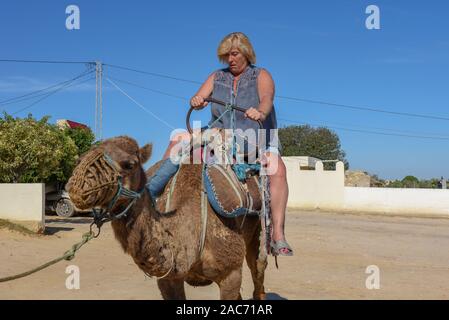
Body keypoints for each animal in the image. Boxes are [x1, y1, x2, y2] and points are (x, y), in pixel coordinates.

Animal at [66, 136, 266, 300]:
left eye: (129, 164)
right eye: (80, 158)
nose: (76, 186)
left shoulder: (231, 273)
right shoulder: (167, 279)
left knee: (258, 270)